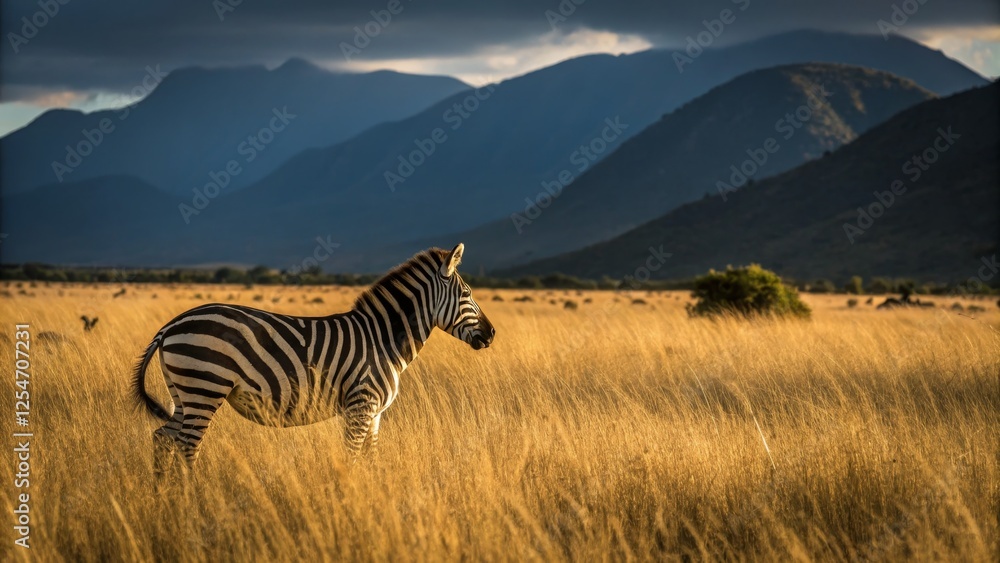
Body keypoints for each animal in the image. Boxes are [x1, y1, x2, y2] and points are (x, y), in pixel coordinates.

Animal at [131, 244, 494, 468]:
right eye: (466, 294)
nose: (491, 334)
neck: (383, 340)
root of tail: (171, 325)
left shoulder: (375, 413)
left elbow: (372, 460)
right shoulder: (360, 406)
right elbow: (352, 459)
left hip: (184, 393)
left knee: (162, 440)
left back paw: (164, 500)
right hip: (205, 387)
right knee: (187, 447)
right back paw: (192, 501)